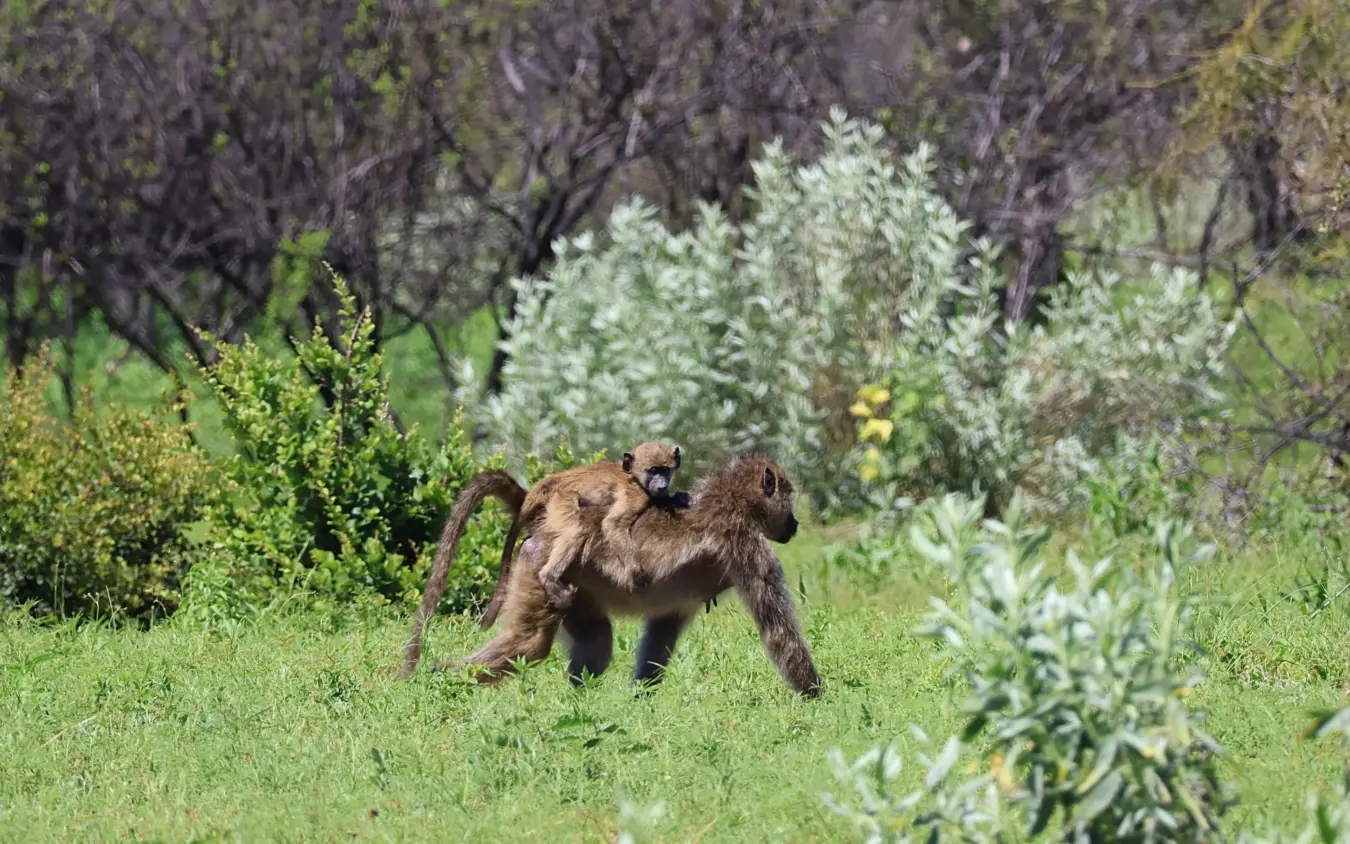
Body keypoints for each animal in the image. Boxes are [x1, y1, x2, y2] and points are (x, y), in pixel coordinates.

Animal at [403, 455, 822, 699]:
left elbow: (660, 635)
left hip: (574, 591)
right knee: (529, 644)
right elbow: (778, 632)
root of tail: (543, 521)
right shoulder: (748, 548)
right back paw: (439, 680)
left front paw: (640, 699)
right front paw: (816, 699)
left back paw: (579, 707)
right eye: (787, 498)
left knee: (596, 643)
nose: (795, 525)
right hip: (539, 571)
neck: (730, 501)